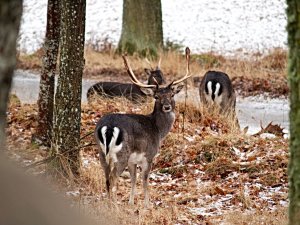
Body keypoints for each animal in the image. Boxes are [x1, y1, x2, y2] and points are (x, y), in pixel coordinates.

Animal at [94, 47, 192, 207]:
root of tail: (108, 127)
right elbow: (145, 180)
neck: (158, 130)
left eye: (172, 94)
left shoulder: (132, 160)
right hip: (121, 154)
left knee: (107, 178)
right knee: (113, 178)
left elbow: (134, 179)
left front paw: (131, 202)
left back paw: (109, 203)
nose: (167, 107)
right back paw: (114, 205)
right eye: (156, 96)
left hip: (101, 152)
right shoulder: (149, 155)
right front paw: (147, 204)